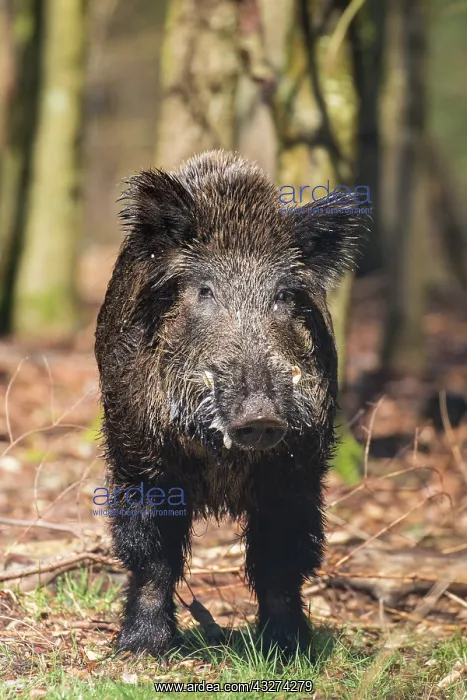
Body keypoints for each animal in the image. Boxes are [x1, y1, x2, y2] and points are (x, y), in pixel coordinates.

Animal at [95, 150, 364, 658]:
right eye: (205, 291)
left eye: (283, 296)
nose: (260, 415)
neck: (223, 463)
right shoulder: (138, 459)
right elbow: (150, 555)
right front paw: (141, 650)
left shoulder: (298, 469)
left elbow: (282, 559)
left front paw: (288, 650)